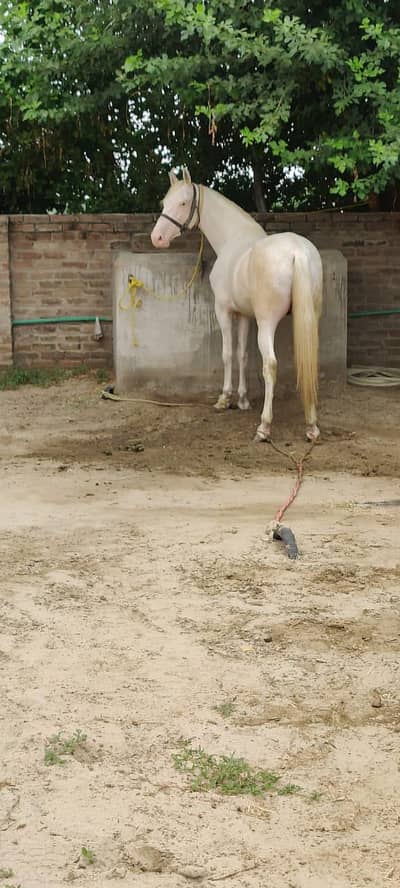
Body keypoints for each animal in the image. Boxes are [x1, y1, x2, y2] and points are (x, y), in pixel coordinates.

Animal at [151, 167, 323, 442]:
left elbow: (228, 353)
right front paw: (242, 400)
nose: (157, 238)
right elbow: (242, 354)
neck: (232, 240)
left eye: (183, 203)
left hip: (267, 323)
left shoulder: (224, 311)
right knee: (309, 363)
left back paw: (264, 427)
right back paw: (311, 425)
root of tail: (298, 252)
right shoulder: (244, 315)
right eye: (164, 203)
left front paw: (224, 398)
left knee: (270, 365)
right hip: (310, 318)